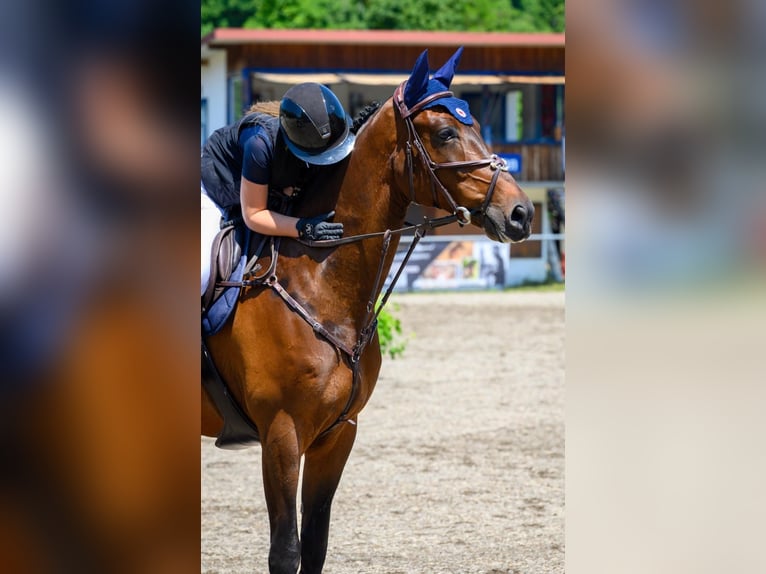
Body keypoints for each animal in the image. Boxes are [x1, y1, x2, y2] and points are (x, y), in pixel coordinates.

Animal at [202, 47, 534, 574]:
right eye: (445, 134)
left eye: (479, 123)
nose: (522, 213)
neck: (320, 284)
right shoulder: (281, 434)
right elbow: (285, 552)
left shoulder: (338, 434)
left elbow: (315, 544)